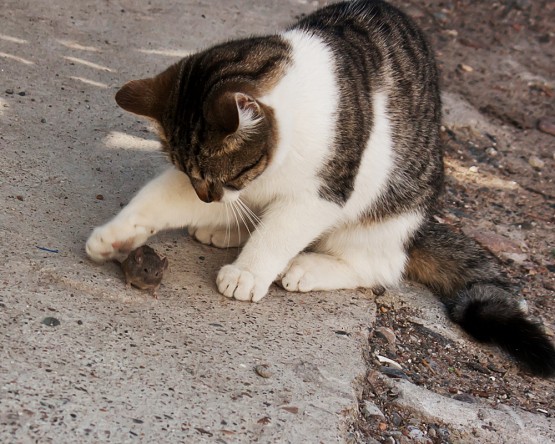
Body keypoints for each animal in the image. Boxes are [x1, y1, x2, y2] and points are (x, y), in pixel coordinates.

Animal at [83, 0, 555, 376]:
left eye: (220, 178)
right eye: (192, 175)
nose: (207, 197)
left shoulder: (322, 192)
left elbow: (280, 232)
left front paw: (250, 270)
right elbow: (159, 199)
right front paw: (115, 236)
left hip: (390, 206)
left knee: (379, 265)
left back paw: (308, 266)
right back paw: (224, 229)